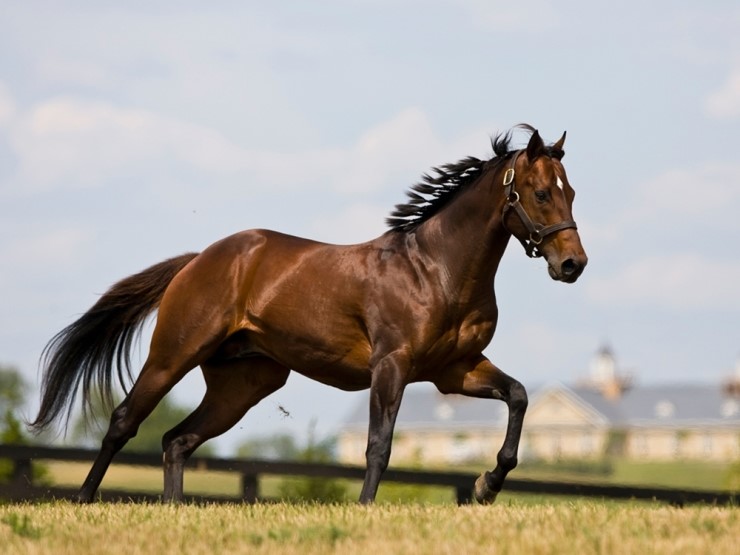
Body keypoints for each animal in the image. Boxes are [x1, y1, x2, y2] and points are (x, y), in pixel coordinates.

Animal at [31, 125, 588, 504]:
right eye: (542, 192)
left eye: (572, 192)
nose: (573, 264)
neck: (435, 269)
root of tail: (198, 260)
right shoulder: (392, 366)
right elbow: (379, 444)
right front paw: (366, 508)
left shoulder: (455, 370)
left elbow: (518, 396)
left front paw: (486, 485)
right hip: (173, 355)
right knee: (124, 421)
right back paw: (83, 501)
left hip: (245, 383)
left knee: (176, 440)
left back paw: (172, 509)